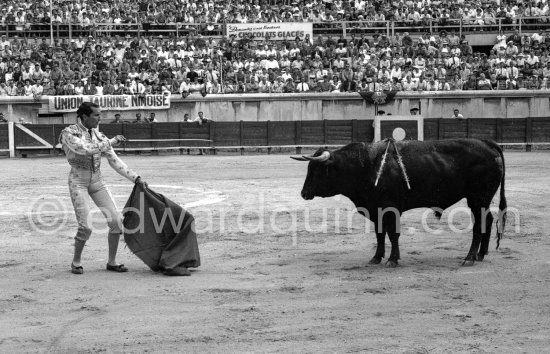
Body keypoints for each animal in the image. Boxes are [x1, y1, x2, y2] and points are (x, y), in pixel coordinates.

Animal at [294, 138, 508, 266]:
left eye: (316, 170)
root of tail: (488, 143)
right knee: (488, 221)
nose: (304, 193)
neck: (365, 166)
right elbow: (380, 234)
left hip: (477, 198)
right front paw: (376, 257)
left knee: (479, 225)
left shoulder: (391, 208)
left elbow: (393, 234)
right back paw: (481, 254)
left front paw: (392, 260)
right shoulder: (376, 209)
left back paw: (469, 258)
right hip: (481, 200)